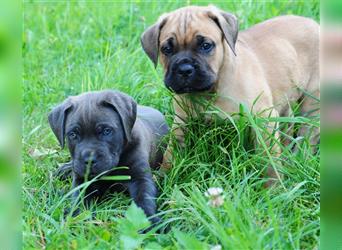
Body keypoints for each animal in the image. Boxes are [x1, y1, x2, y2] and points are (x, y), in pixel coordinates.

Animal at [48, 90, 169, 225]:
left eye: (106, 131)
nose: (89, 161)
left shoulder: (141, 178)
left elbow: (144, 198)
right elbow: (79, 200)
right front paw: (77, 218)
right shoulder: (83, 181)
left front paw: (149, 222)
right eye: (73, 134)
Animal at [140, 4, 320, 185]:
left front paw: (273, 186)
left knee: (308, 135)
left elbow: (268, 158)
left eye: (206, 45)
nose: (184, 69)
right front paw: (162, 178)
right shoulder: (182, 123)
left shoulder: (263, 119)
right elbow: (171, 153)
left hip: (312, 103)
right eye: (166, 49)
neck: (208, 92)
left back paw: (298, 160)